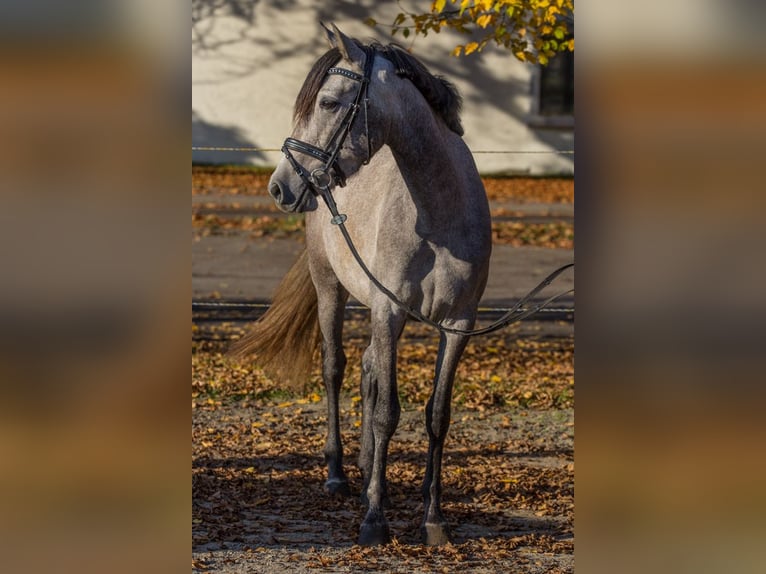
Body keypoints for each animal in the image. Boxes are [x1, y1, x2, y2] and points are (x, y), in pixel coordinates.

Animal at [234, 23, 492, 548]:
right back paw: (338, 474)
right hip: (331, 289)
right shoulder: (387, 312)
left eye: (330, 102)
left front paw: (433, 517)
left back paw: (372, 472)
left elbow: (437, 415)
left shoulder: (457, 324)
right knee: (336, 368)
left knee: (370, 370)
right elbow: (386, 412)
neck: (440, 211)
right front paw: (374, 519)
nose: (279, 186)